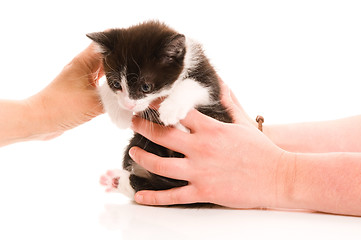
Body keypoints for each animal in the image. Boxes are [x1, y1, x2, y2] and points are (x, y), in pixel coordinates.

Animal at [88, 20, 232, 198]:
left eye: (146, 87)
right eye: (116, 84)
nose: (128, 105)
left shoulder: (211, 82)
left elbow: (194, 84)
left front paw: (170, 110)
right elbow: (104, 88)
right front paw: (119, 115)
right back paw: (115, 180)